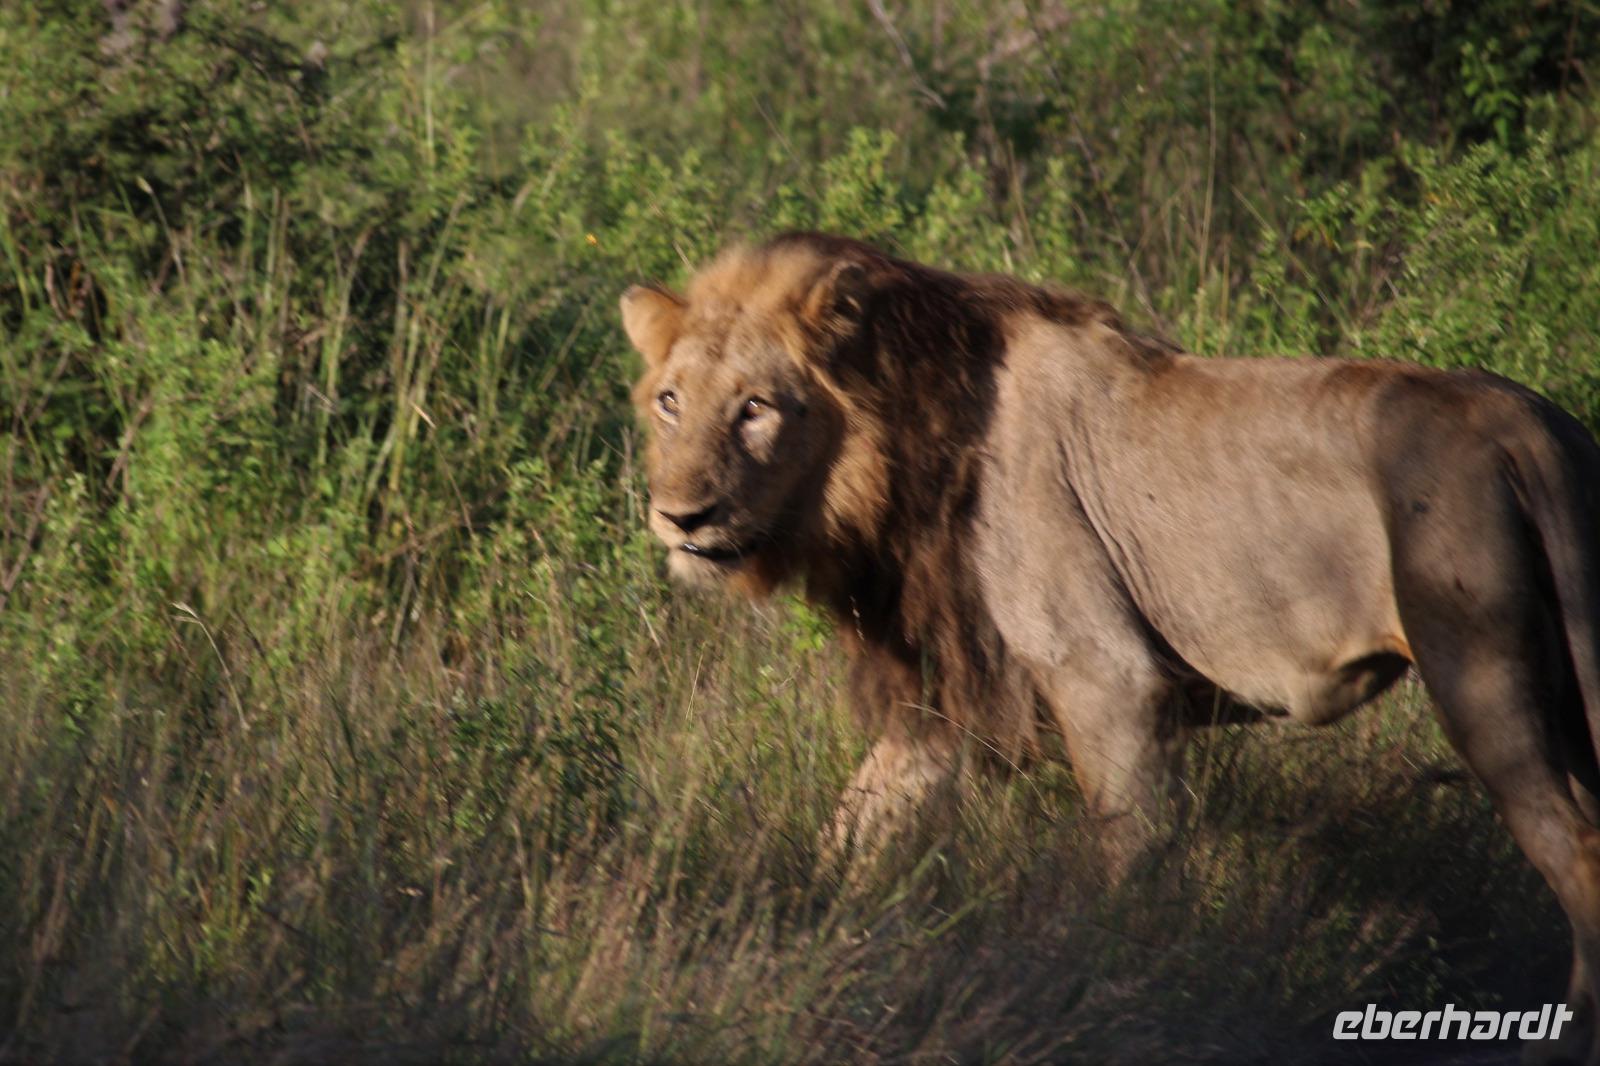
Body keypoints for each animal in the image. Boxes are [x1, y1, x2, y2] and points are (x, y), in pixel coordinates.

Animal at [622, 232, 1600, 1064]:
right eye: (670, 402)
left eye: (756, 409)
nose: (681, 517)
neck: (890, 460)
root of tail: (1530, 423)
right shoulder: (947, 700)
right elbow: (852, 831)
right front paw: (807, 927)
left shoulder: (1107, 677)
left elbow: (1132, 859)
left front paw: (1131, 979)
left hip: (1482, 677)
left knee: (1579, 855)